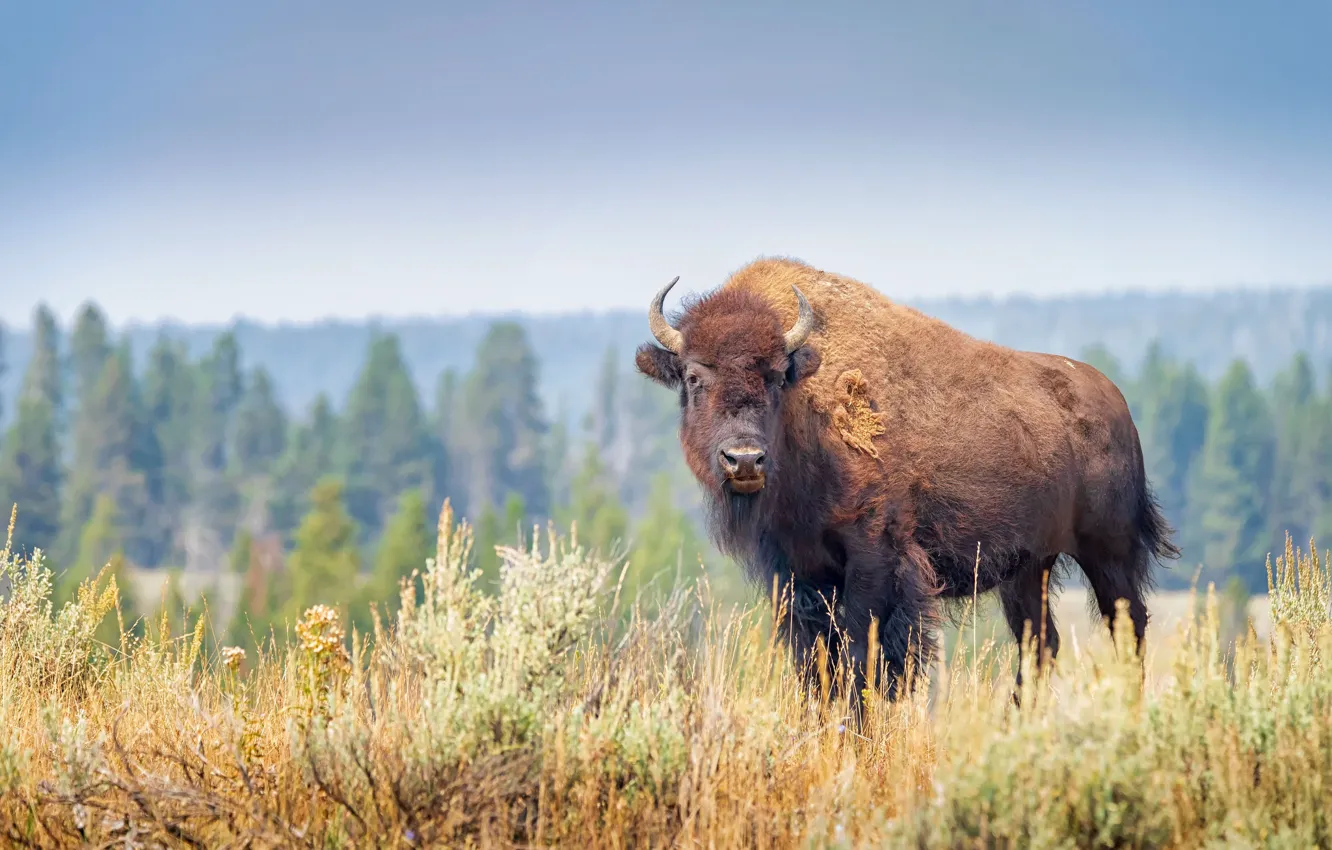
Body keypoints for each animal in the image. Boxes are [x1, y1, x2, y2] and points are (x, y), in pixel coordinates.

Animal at [634, 257, 1179, 705]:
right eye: (694, 378)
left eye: (774, 376)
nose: (744, 460)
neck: (805, 413)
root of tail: (1115, 403)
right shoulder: (795, 573)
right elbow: (817, 666)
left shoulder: (875, 560)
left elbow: (865, 660)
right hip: (1029, 568)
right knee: (1041, 643)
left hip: (1109, 552)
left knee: (1129, 629)